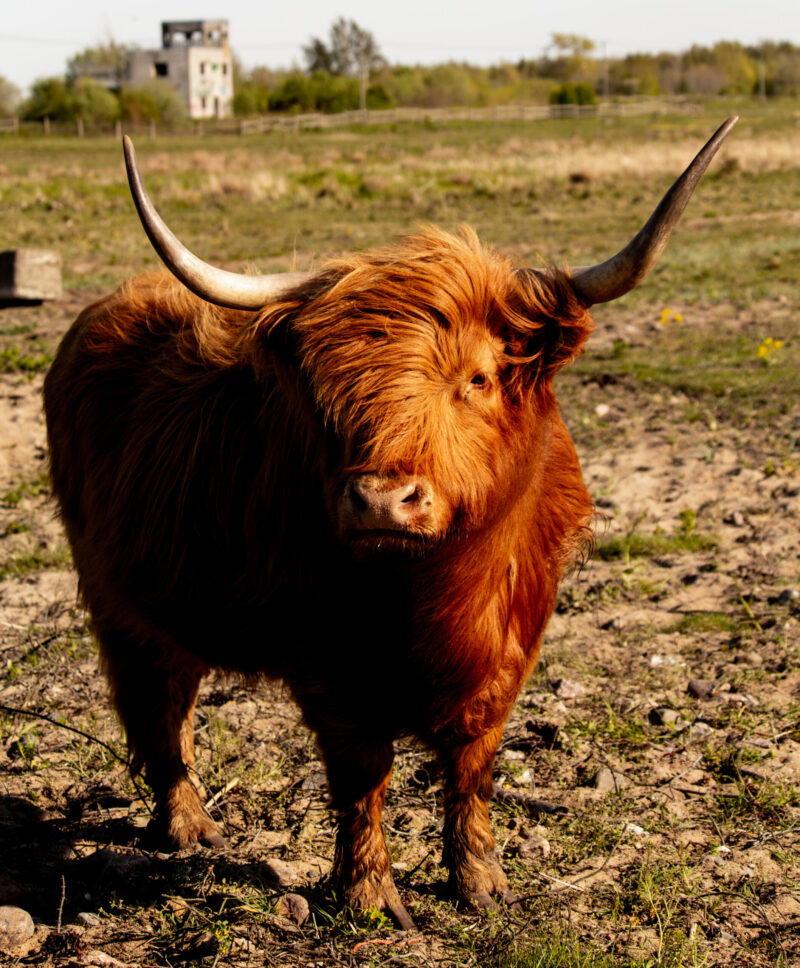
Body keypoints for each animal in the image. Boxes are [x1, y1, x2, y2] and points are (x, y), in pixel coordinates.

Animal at [44, 118, 736, 929]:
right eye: (326, 396)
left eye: (477, 378)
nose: (380, 500)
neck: (430, 595)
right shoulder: (326, 661)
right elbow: (361, 773)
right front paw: (369, 895)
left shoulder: (511, 649)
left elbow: (472, 765)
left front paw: (479, 881)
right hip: (118, 601)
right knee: (155, 704)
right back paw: (185, 824)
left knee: (173, 700)